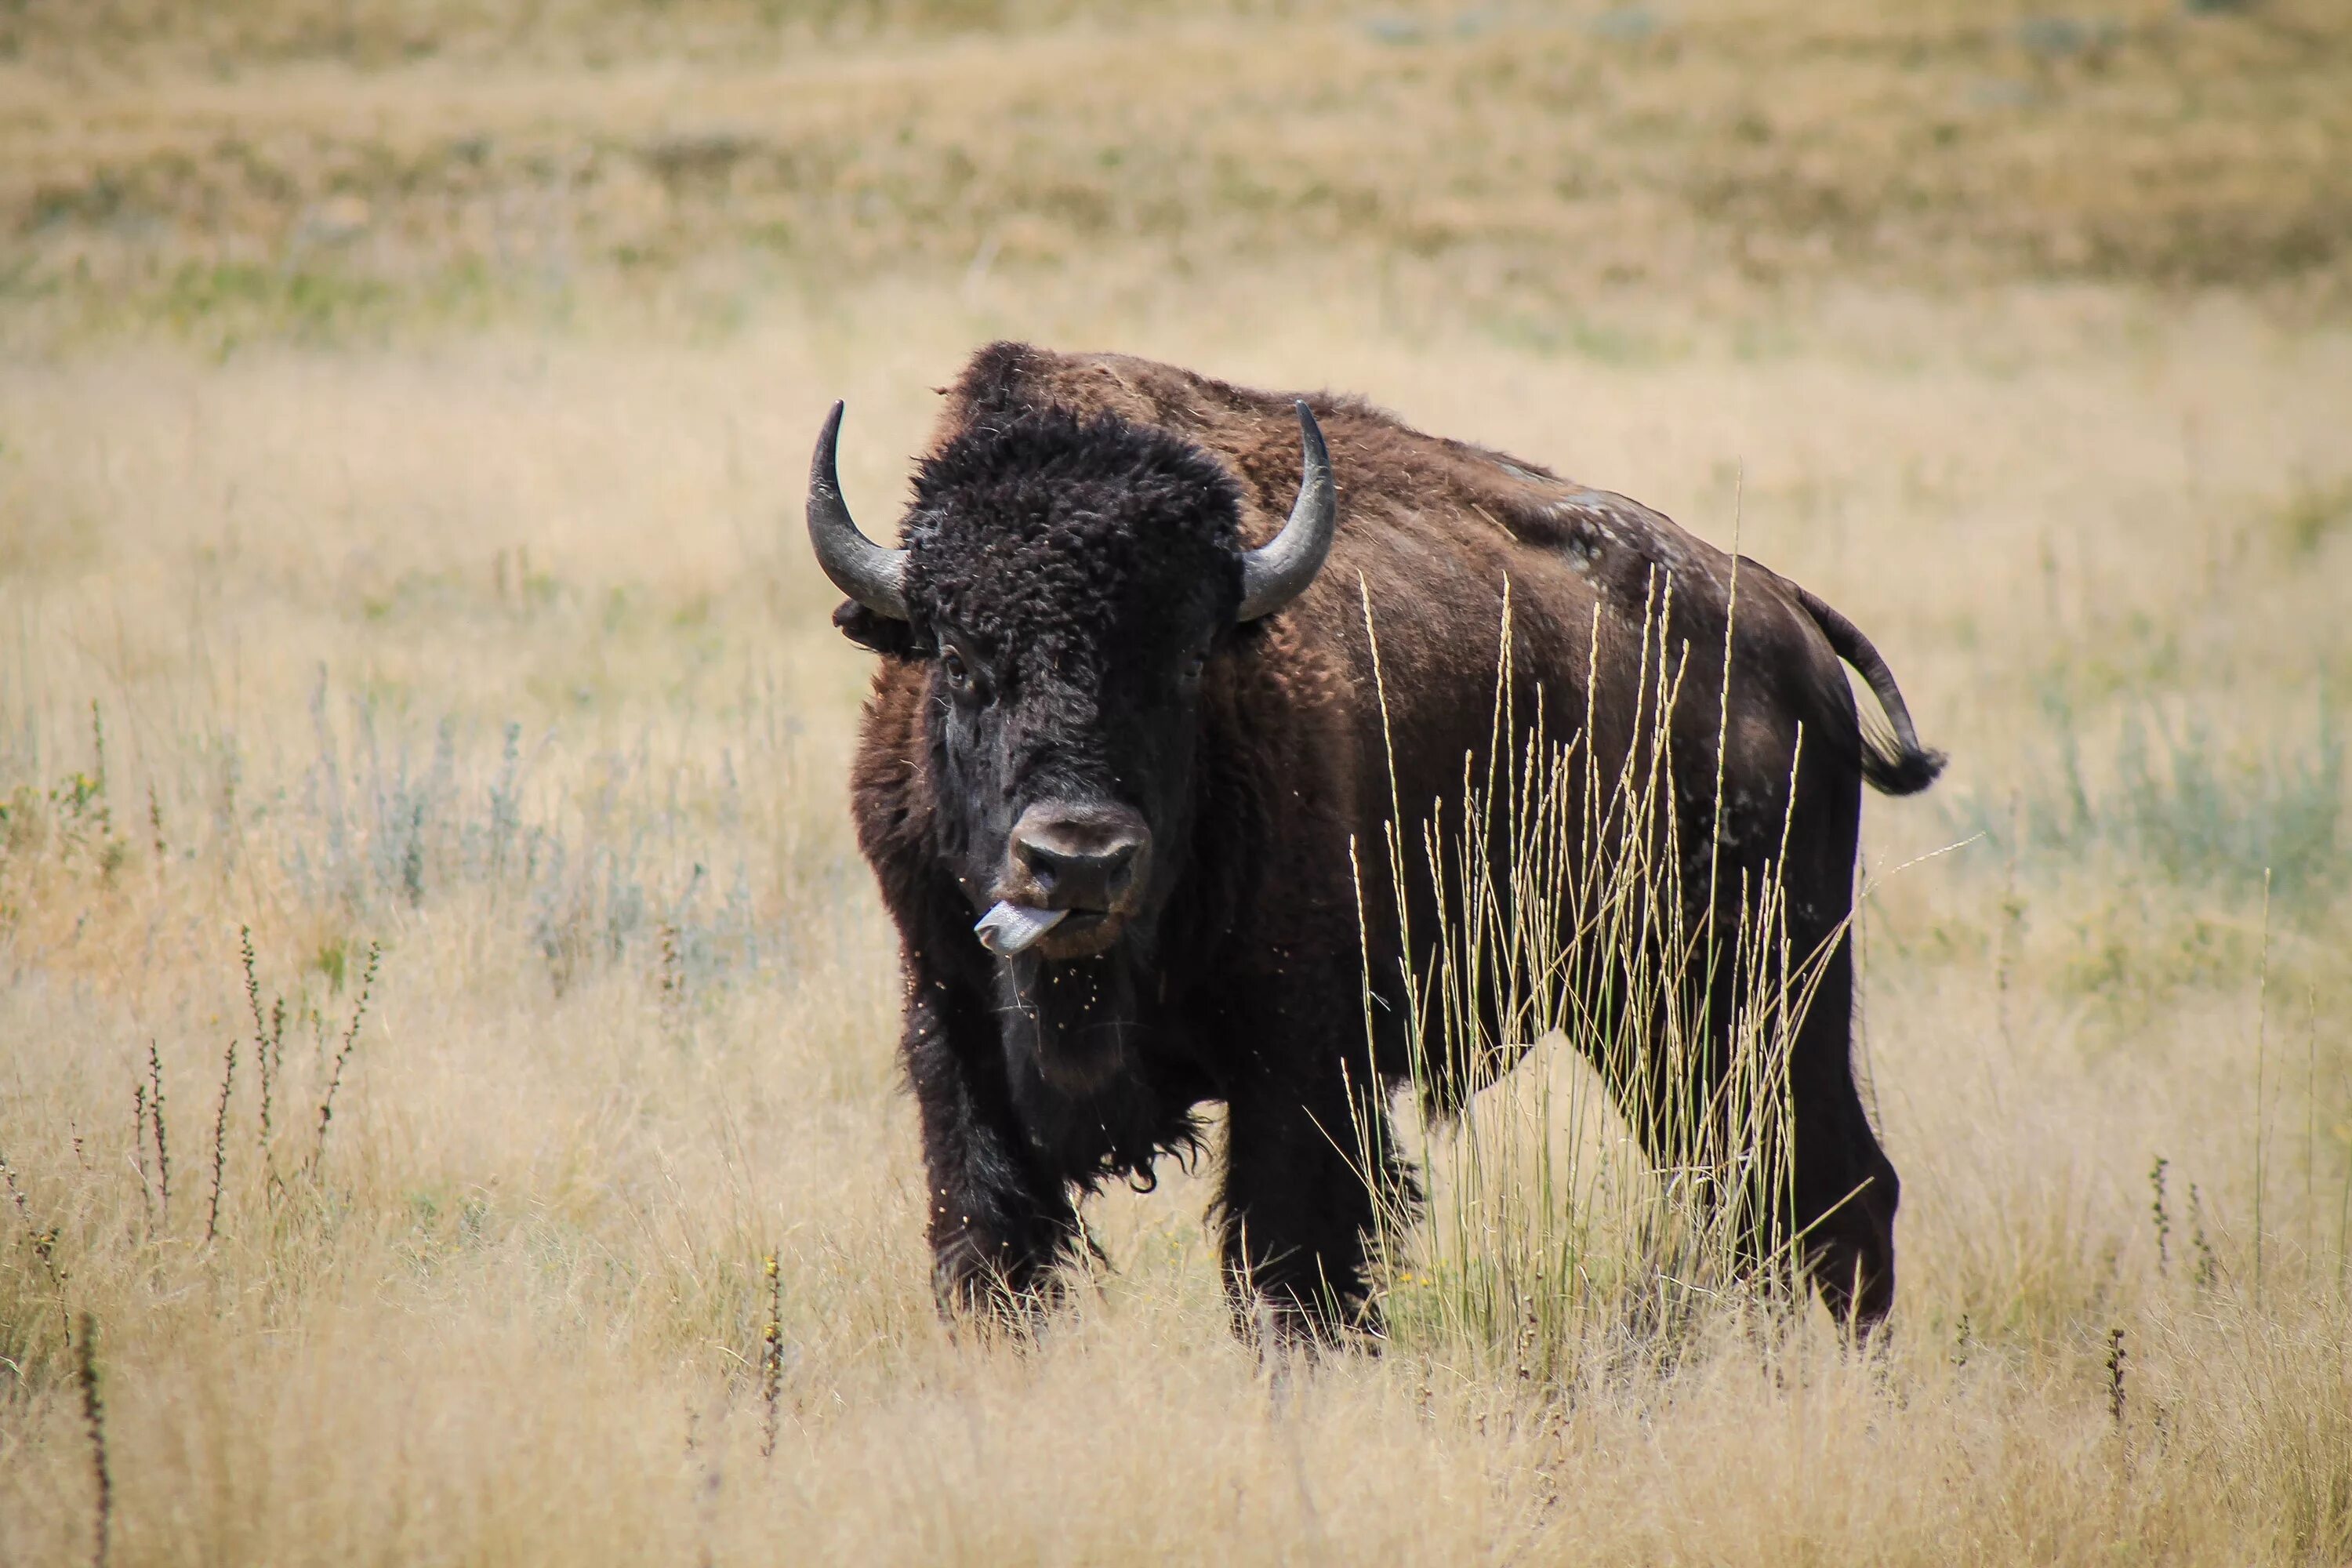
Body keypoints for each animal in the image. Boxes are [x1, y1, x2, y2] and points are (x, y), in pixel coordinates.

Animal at [809, 345, 1947, 1354]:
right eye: (959, 658)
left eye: (1188, 657)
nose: (1077, 860)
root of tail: (1782, 613)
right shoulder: (953, 1032)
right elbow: (990, 1252)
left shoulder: (1303, 1065)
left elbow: (1292, 1273)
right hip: (1655, 1020)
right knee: (1752, 1195)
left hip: (1759, 989)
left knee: (1836, 1192)